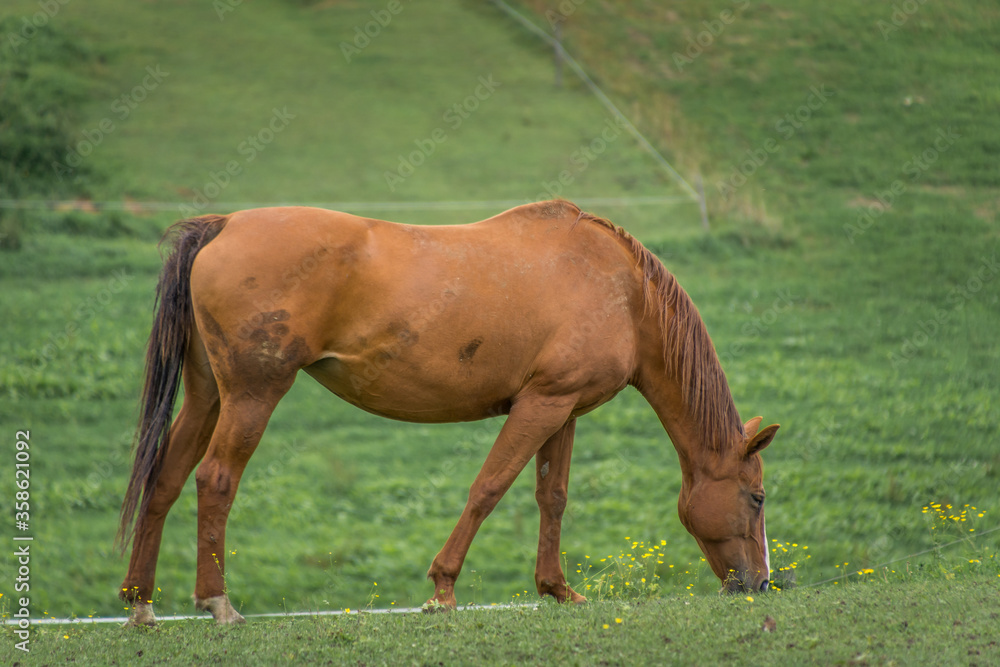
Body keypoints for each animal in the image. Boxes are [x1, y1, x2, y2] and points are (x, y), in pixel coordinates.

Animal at [116, 199, 779, 625]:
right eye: (757, 497)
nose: (762, 584)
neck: (621, 290)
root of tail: (223, 225)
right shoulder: (541, 404)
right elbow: (489, 488)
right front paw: (443, 590)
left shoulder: (562, 411)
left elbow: (552, 497)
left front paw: (556, 590)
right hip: (252, 396)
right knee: (215, 480)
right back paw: (218, 604)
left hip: (207, 396)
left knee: (165, 481)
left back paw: (141, 604)